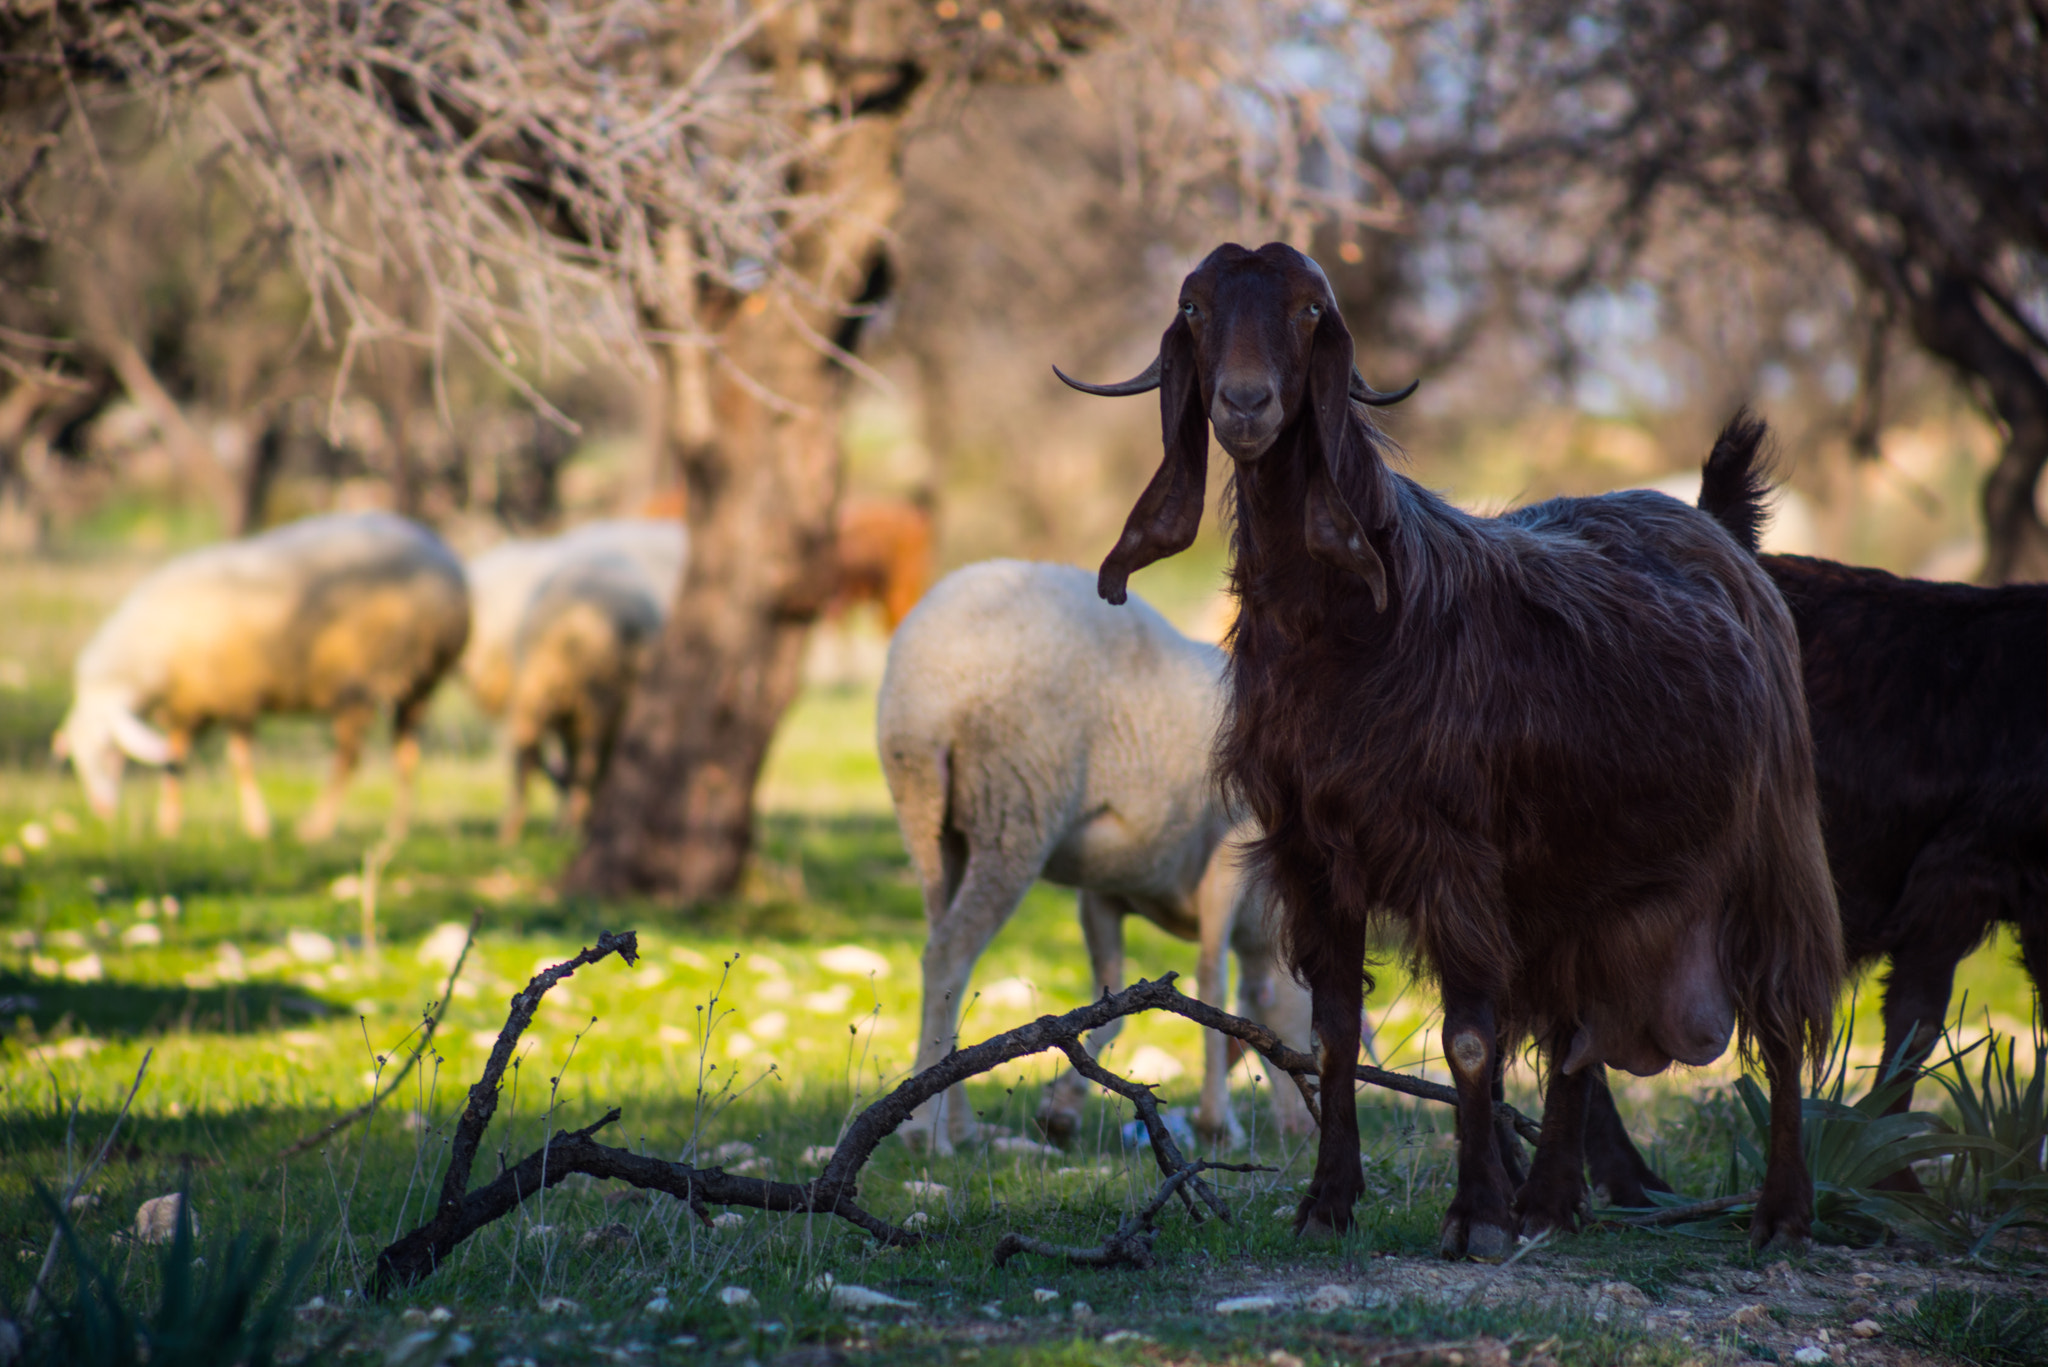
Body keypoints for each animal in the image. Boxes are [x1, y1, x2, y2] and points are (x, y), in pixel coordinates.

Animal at [57, 508, 475, 840]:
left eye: (108, 750)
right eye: (76, 758)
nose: (102, 812)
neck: (147, 654)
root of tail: (446, 560)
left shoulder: (236, 695)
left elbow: (238, 762)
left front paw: (257, 826)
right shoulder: (190, 705)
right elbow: (176, 761)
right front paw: (169, 825)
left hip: (362, 683)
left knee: (349, 758)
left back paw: (317, 828)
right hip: (418, 682)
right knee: (406, 756)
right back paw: (396, 829)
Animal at [880, 561, 1310, 1164]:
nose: (1305, 1133)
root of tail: (927, 676)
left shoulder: (1103, 891)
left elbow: (1111, 995)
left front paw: (1060, 1109)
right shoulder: (1227, 855)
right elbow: (1212, 982)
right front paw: (1218, 1123)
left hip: (930, 818)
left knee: (942, 956)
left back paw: (954, 1119)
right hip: (1015, 803)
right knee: (948, 956)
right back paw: (927, 1131)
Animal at [1064, 242, 1851, 1254]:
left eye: (1310, 311)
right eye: (1194, 308)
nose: (1243, 403)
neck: (1358, 624)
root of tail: (1717, 528)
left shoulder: (1454, 853)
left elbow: (1471, 1039)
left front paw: (1474, 1216)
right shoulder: (1310, 852)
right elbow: (1332, 1032)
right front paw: (1327, 1202)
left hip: (1767, 843)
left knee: (1783, 1013)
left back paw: (1781, 1213)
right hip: (1574, 879)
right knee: (1577, 1033)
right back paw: (1550, 1200)